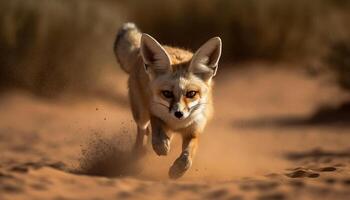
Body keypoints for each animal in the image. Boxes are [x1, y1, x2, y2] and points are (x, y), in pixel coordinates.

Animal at [113, 22, 221, 179]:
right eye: (167, 94)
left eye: (191, 94)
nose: (179, 114)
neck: (177, 124)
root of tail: (139, 53)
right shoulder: (153, 110)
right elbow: (157, 128)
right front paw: (161, 146)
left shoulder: (195, 128)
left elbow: (188, 156)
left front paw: (178, 170)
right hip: (141, 113)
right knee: (143, 130)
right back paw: (138, 156)